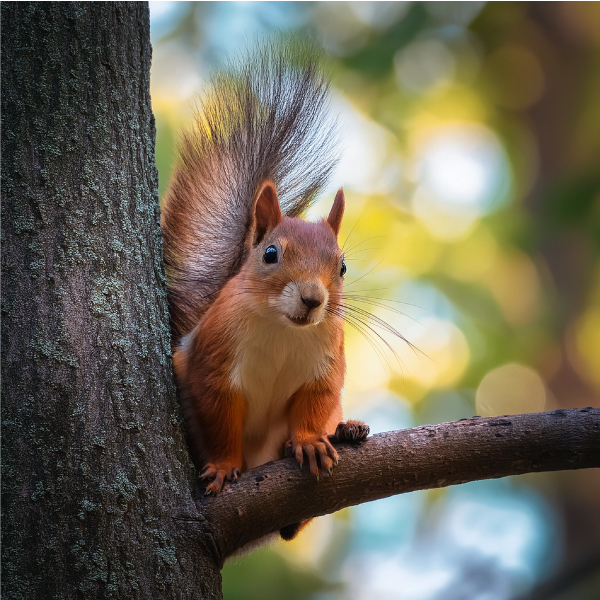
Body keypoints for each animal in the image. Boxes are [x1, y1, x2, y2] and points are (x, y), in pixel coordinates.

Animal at [163, 41, 370, 540]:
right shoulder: (215, 363)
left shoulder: (324, 364)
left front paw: (311, 441)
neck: (284, 330)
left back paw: (344, 432)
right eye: (270, 254)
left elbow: (316, 402)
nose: (313, 299)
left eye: (342, 266)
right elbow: (220, 418)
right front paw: (222, 466)